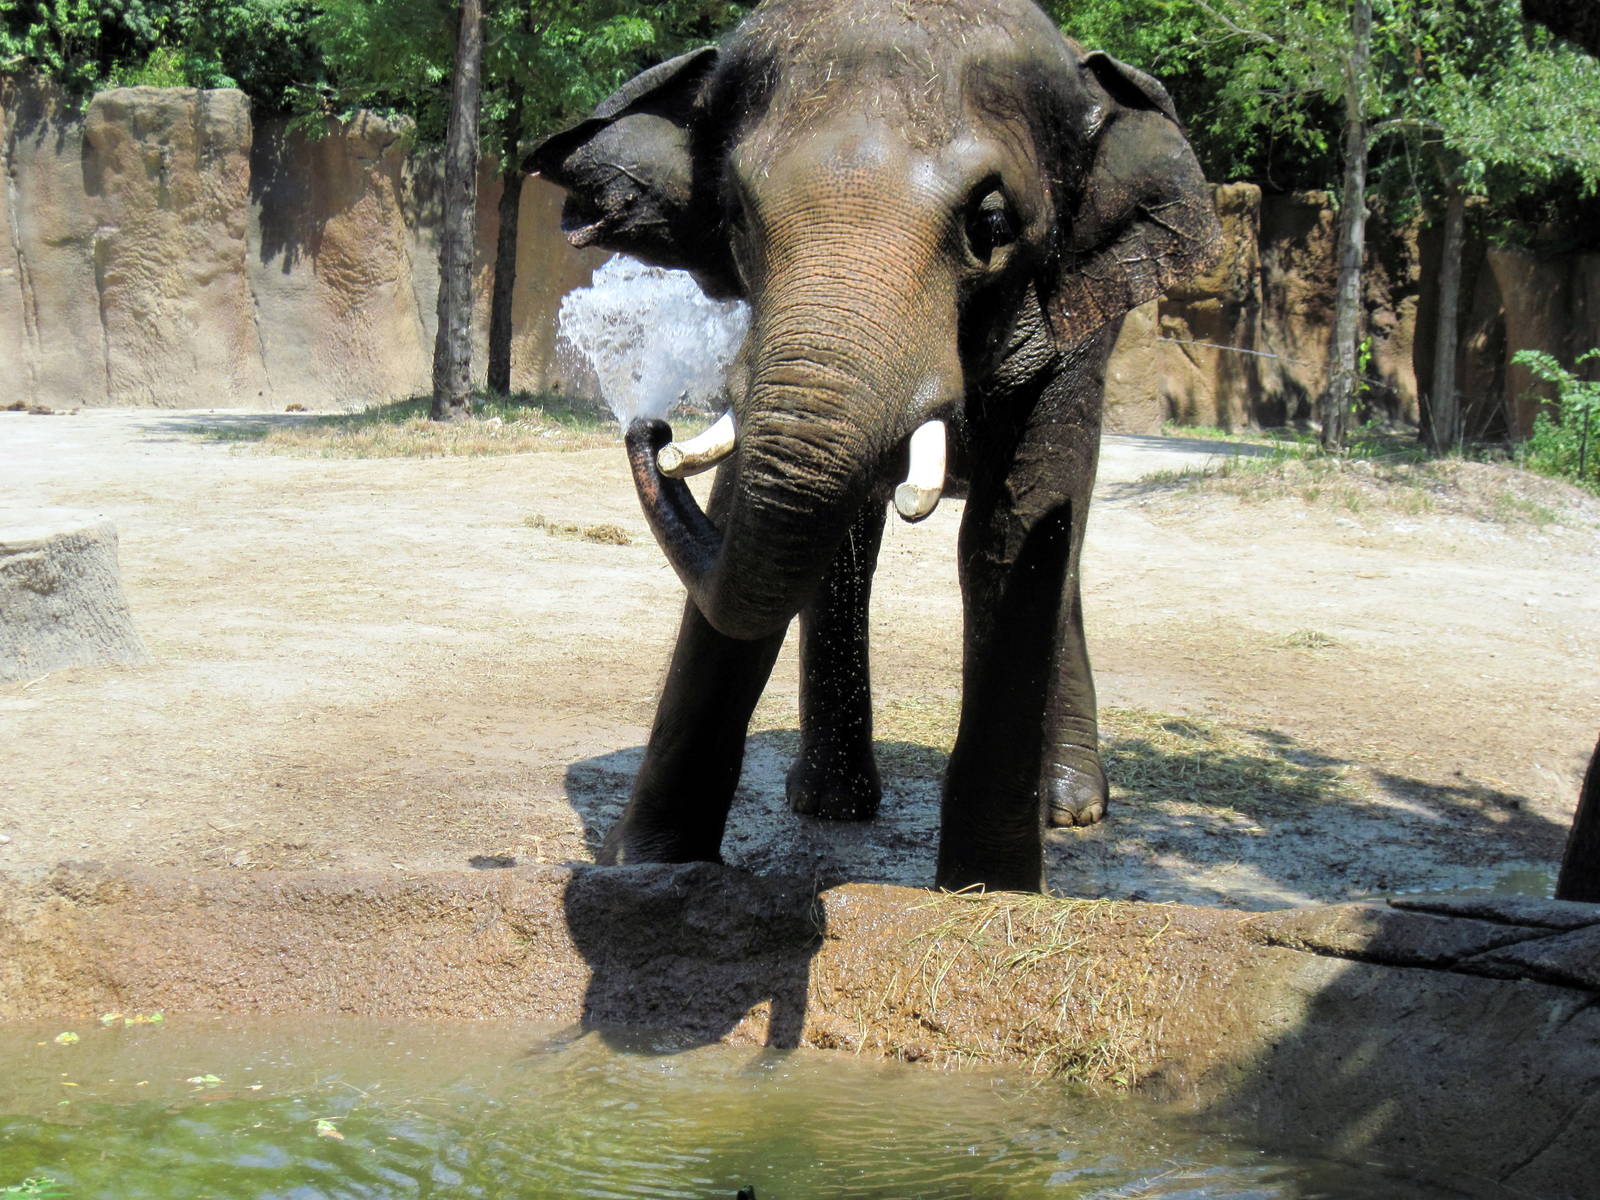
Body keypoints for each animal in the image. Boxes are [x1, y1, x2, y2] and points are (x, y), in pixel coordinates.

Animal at [533, 0, 1220, 891]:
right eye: (737, 216)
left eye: (991, 224)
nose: (649, 426)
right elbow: (749, 508)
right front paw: (647, 870)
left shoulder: (1072, 325)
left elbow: (1009, 535)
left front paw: (988, 891)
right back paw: (830, 805)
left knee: (1057, 540)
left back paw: (1070, 808)